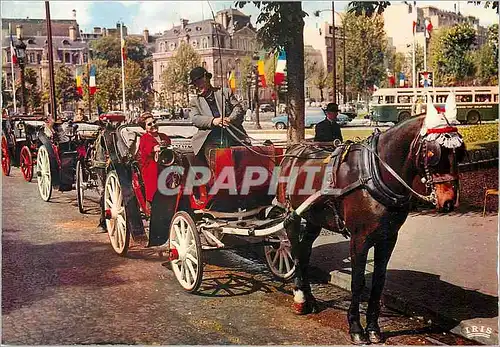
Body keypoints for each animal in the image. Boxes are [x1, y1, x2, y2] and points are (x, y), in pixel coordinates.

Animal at [274, 96, 464, 346]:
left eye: (460, 152)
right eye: (434, 154)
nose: (449, 201)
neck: (375, 173)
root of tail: (294, 150)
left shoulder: (388, 238)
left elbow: (378, 282)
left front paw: (373, 328)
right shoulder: (359, 239)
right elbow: (357, 282)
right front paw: (356, 327)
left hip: (314, 218)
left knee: (305, 251)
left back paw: (309, 297)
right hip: (292, 216)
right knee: (295, 250)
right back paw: (299, 297)